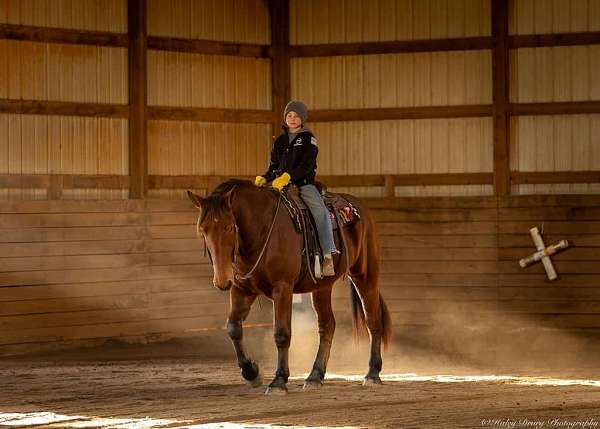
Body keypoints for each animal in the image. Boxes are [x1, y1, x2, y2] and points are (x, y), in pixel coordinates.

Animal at [189, 179, 394, 392]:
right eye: (202, 230)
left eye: (229, 227)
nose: (222, 281)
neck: (262, 228)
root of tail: (359, 206)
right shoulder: (242, 290)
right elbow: (233, 328)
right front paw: (251, 372)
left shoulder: (282, 288)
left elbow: (281, 334)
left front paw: (279, 380)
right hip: (321, 287)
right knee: (327, 325)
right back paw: (314, 376)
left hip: (365, 275)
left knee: (373, 321)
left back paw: (372, 374)